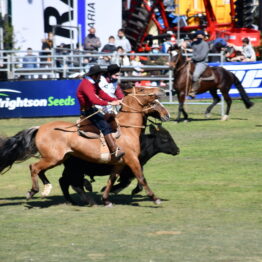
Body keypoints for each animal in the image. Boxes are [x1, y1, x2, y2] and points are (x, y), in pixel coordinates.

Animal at [0, 88, 169, 207]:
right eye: (143, 92)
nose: (166, 114)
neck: (127, 129)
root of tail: (40, 128)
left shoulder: (119, 163)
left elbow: (111, 180)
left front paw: (106, 200)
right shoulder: (132, 160)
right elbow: (141, 178)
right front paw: (155, 198)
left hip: (58, 159)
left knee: (42, 171)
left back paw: (50, 190)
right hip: (53, 158)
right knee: (34, 167)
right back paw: (34, 191)